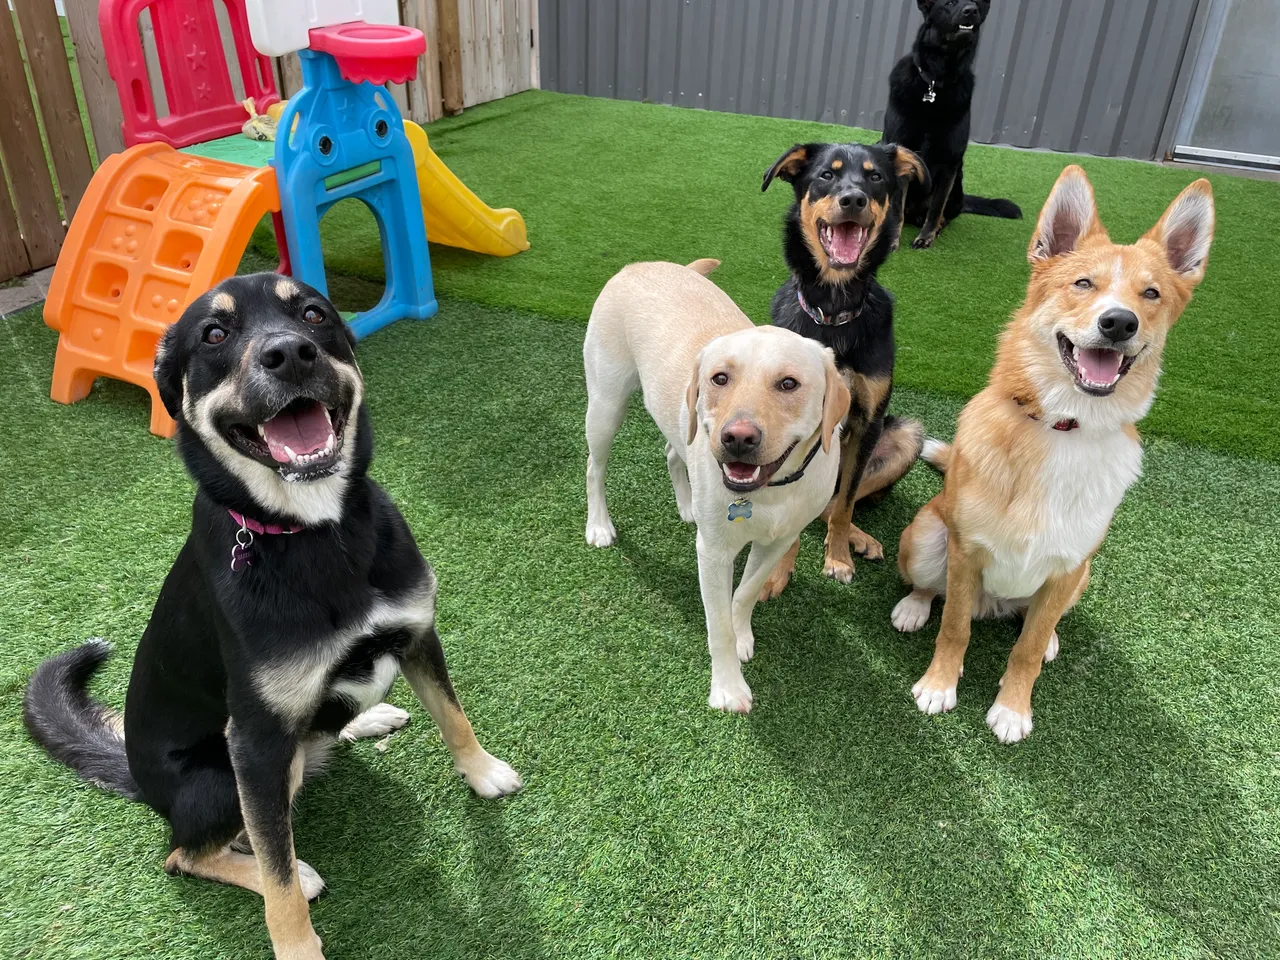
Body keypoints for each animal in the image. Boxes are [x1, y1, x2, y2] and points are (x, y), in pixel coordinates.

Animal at [23, 273, 519, 960]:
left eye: (312, 314)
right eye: (214, 333)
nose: (290, 354)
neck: (316, 531)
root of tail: (140, 781)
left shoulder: (417, 632)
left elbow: (453, 714)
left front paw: (482, 772)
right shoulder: (254, 745)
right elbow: (277, 873)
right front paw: (297, 945)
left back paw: (368, 717)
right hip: (222, 782)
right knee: (190, 854)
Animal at [586, 261, 849, 716]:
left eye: (789, 384)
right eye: (720, 378)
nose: (736, 438)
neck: (771, 490)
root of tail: (639, 264)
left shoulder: (779, 541)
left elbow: (744, 595)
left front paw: (743, 634)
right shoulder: (713, 553)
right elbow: (718, 625)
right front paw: (727, 688)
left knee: (673, 452)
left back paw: (688, 505)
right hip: (606, 403)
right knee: (594, 467)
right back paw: (599, 525)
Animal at [757, 142, 931, 599]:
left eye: (875, 177)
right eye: (826, 175)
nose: (853, 199)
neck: (833, 312)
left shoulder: (869, 422)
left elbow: (846, 503)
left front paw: (838, 558)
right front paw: (777, 573)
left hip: (906, 435)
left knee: (834, 504)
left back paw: (859, 538)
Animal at [885, 0, 1024, 248]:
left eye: (976, 3)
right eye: (948, 3)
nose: (971, 11)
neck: (934, 84)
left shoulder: (950, 162)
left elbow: (937, 207)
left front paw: (927, 236)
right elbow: (896, 208)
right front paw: (891, 240)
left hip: (958, 179)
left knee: (946, 213)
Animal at [896, 167, 1213, 742]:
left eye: (1151, 293)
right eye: (1083, 283)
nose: (1120, 322)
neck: (1063, 427)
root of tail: (995, 603)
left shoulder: (1068, 567)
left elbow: (1025, 648)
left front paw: (1013, 708)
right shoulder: (965, 550)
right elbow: (953, 628)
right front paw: (938, 685)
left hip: (1079, 578)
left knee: (1037, 623)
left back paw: (1049, 641)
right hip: (927, 535)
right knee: (937, 593)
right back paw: (913, 606)